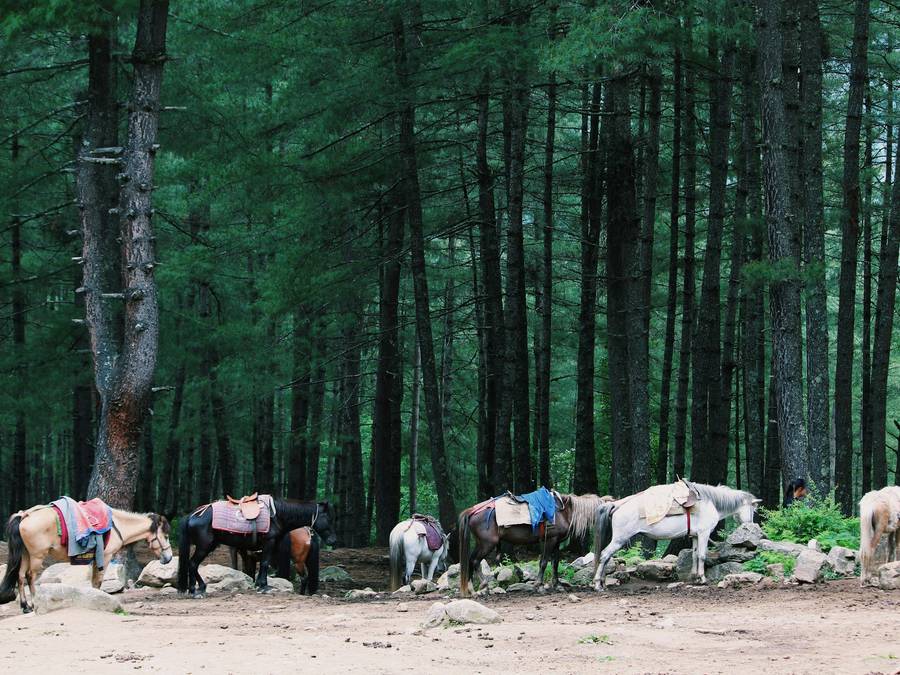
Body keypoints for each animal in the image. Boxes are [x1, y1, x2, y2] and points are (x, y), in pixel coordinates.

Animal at [0, 502, 172, 613]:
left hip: (26, 555)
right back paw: (35, 602)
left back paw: (25, 606)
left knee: (20, 576)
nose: (169, 558)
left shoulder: (96, 560)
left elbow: (94, 582)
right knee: (30, 577)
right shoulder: (105, 557)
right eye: (166, 536)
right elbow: (98, 582)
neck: (116, 526)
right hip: (36, 556)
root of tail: (24, 515)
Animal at [177, 498, 336, 598]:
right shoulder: (267, 544)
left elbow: (260, 567)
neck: (276, 516)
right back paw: (196, 590)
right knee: (192, 564)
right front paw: (264, 586)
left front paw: (259, 585)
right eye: (328, 518)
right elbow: (263, 564)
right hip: (204, 547)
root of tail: (192, 515)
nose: (333, 540)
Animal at [458, 493, 606, 597]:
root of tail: (472, 511)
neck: (562, 511)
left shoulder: (557, 543)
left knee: (471, 560)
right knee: (475, 561)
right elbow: (544, 562)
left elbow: (555, 563)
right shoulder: (550, 540)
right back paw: (483, 586)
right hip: (487, 544)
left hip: (481, 544)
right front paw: (539, 586)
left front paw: (557, 585)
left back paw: (472, 590)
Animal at [592, 481, 759, 590]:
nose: (750, 526)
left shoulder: (695, 536)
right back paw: (598, 584)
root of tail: (617, 504)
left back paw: (603, 583)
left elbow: (694, 555)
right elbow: (702, 556)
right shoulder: (704, 534)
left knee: (606, 557)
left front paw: (695, 577)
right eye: (753, 509)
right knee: (604, 555)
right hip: (619, 539)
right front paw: (702, 579)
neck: (709, 503)